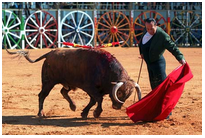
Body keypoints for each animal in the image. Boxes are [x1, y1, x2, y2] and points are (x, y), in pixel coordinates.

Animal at [6, 47, 141, 118]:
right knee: (42, 95)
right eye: (120, 93)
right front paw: (96, 113)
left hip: (68, 83)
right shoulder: (89, 87)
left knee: (63, 91)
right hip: (48, 82)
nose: (117, 107)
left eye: (129, 94)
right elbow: (98, 99)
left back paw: (73, 106)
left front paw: (84, 113)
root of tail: (49, 53)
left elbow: (93, 100)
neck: (105, 68)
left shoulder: (97, 89)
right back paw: (41, 113)